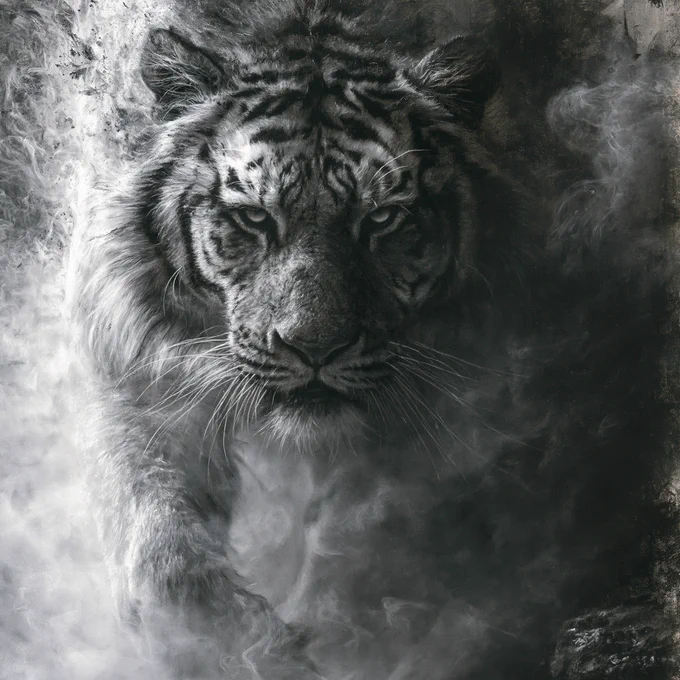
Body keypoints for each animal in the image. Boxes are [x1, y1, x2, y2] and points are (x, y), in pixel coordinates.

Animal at [66, 1, 674, 678]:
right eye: (254, 217)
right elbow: (161, 547)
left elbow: (377, 537)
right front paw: (233, 643)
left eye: (382, 218)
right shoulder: (143, 374)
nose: (313, 348)